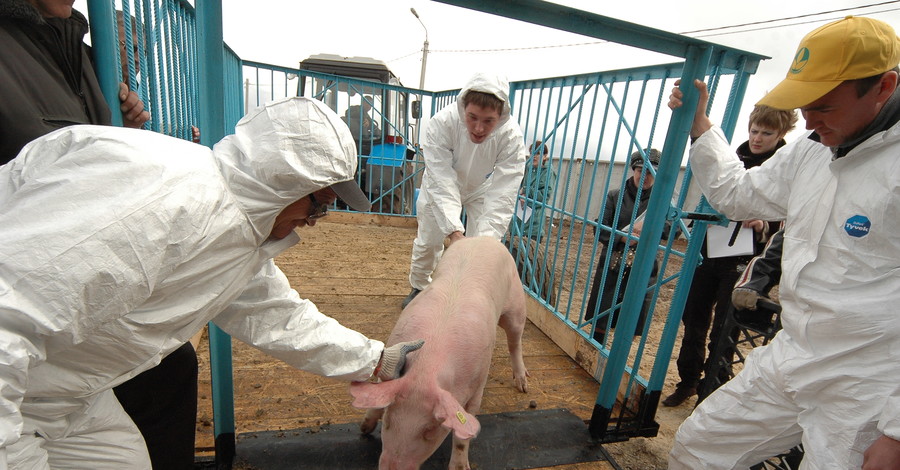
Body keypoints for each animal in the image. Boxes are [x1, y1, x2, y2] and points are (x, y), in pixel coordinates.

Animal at [348, 237, 532, 468]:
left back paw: (523, 385)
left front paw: (460, 467)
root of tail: (483, 238)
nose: (392, 467)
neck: (427, 366)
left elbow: (463, 434)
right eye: (389, 421)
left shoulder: (477, 385)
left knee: (515, 341)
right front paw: (364, 429)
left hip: (516, 305)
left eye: (429, 430)